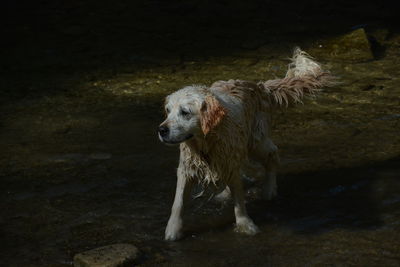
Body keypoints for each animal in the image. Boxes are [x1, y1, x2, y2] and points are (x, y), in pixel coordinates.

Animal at [158, 47, 332, 241]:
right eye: (168, 111)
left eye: (185, 112)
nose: (161, 130)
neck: (206, 142)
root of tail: (259, 87)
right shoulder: (187, 168)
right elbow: (178, 202)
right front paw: (173, 230)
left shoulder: (229, 162)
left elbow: (239, 202)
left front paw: (245, 225)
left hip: (255, 142)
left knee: (272, 155)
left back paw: (269, 189)